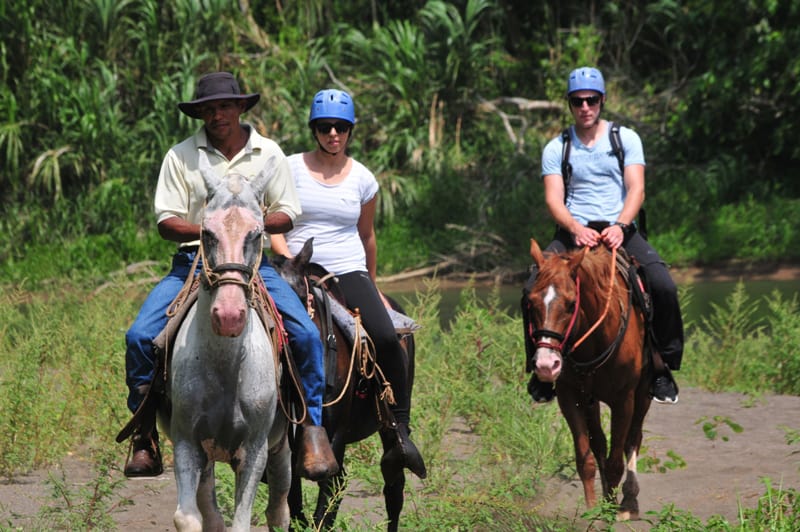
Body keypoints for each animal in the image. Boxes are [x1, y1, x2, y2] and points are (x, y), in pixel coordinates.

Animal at [161, 152, 290, 528]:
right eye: (207, 233)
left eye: (257, 234)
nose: (229, 315)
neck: (227, 366)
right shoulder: (186, 443)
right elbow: (189, 518)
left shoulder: (255, 449)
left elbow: (242, 522)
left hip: (281, 448)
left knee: (279, 510)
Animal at [520, 238, 652, 520]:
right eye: (531, 302)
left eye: (571, 304)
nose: (546, 365)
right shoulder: (571, 397)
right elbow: (586, 458)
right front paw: (593, 511)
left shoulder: (624, 400)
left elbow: (616, 460)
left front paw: (614, 511)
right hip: (591, 401)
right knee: (600, 444)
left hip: (643, 394)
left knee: (633, 439)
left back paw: (629, 502)